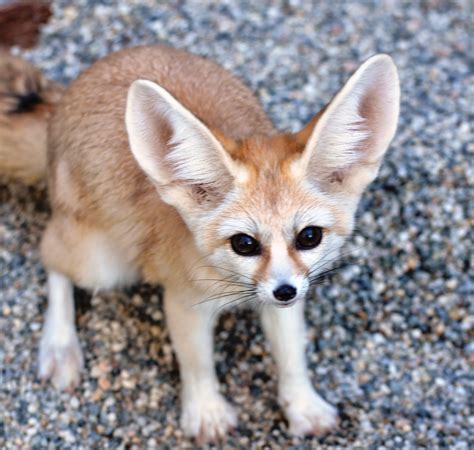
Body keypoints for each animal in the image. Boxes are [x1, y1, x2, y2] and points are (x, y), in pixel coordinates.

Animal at [0, 46, 398, 442]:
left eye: (309, 236)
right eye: (244, 243)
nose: (284, 291)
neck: (233, 284)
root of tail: (64, 100)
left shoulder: (288, 293)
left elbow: (291, 356)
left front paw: (303, 406)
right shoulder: (184, 301)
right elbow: (198, 363)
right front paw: (206, 413)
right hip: (101, 265)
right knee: (51, 257)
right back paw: (60, 344)